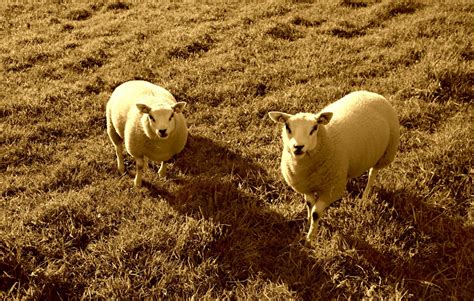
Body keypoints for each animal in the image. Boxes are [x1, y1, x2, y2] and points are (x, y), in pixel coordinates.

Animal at [268, 90, 398, 240]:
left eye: (314, 128)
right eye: (287, 127)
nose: (298, 147)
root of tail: (373, 94)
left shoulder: (331, 190)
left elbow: (316, 213)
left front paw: (310, 238)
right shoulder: (306, 186)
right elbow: (309, 204)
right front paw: (308, 223)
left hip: (385, 154)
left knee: (372, 174)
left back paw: (364, 198)